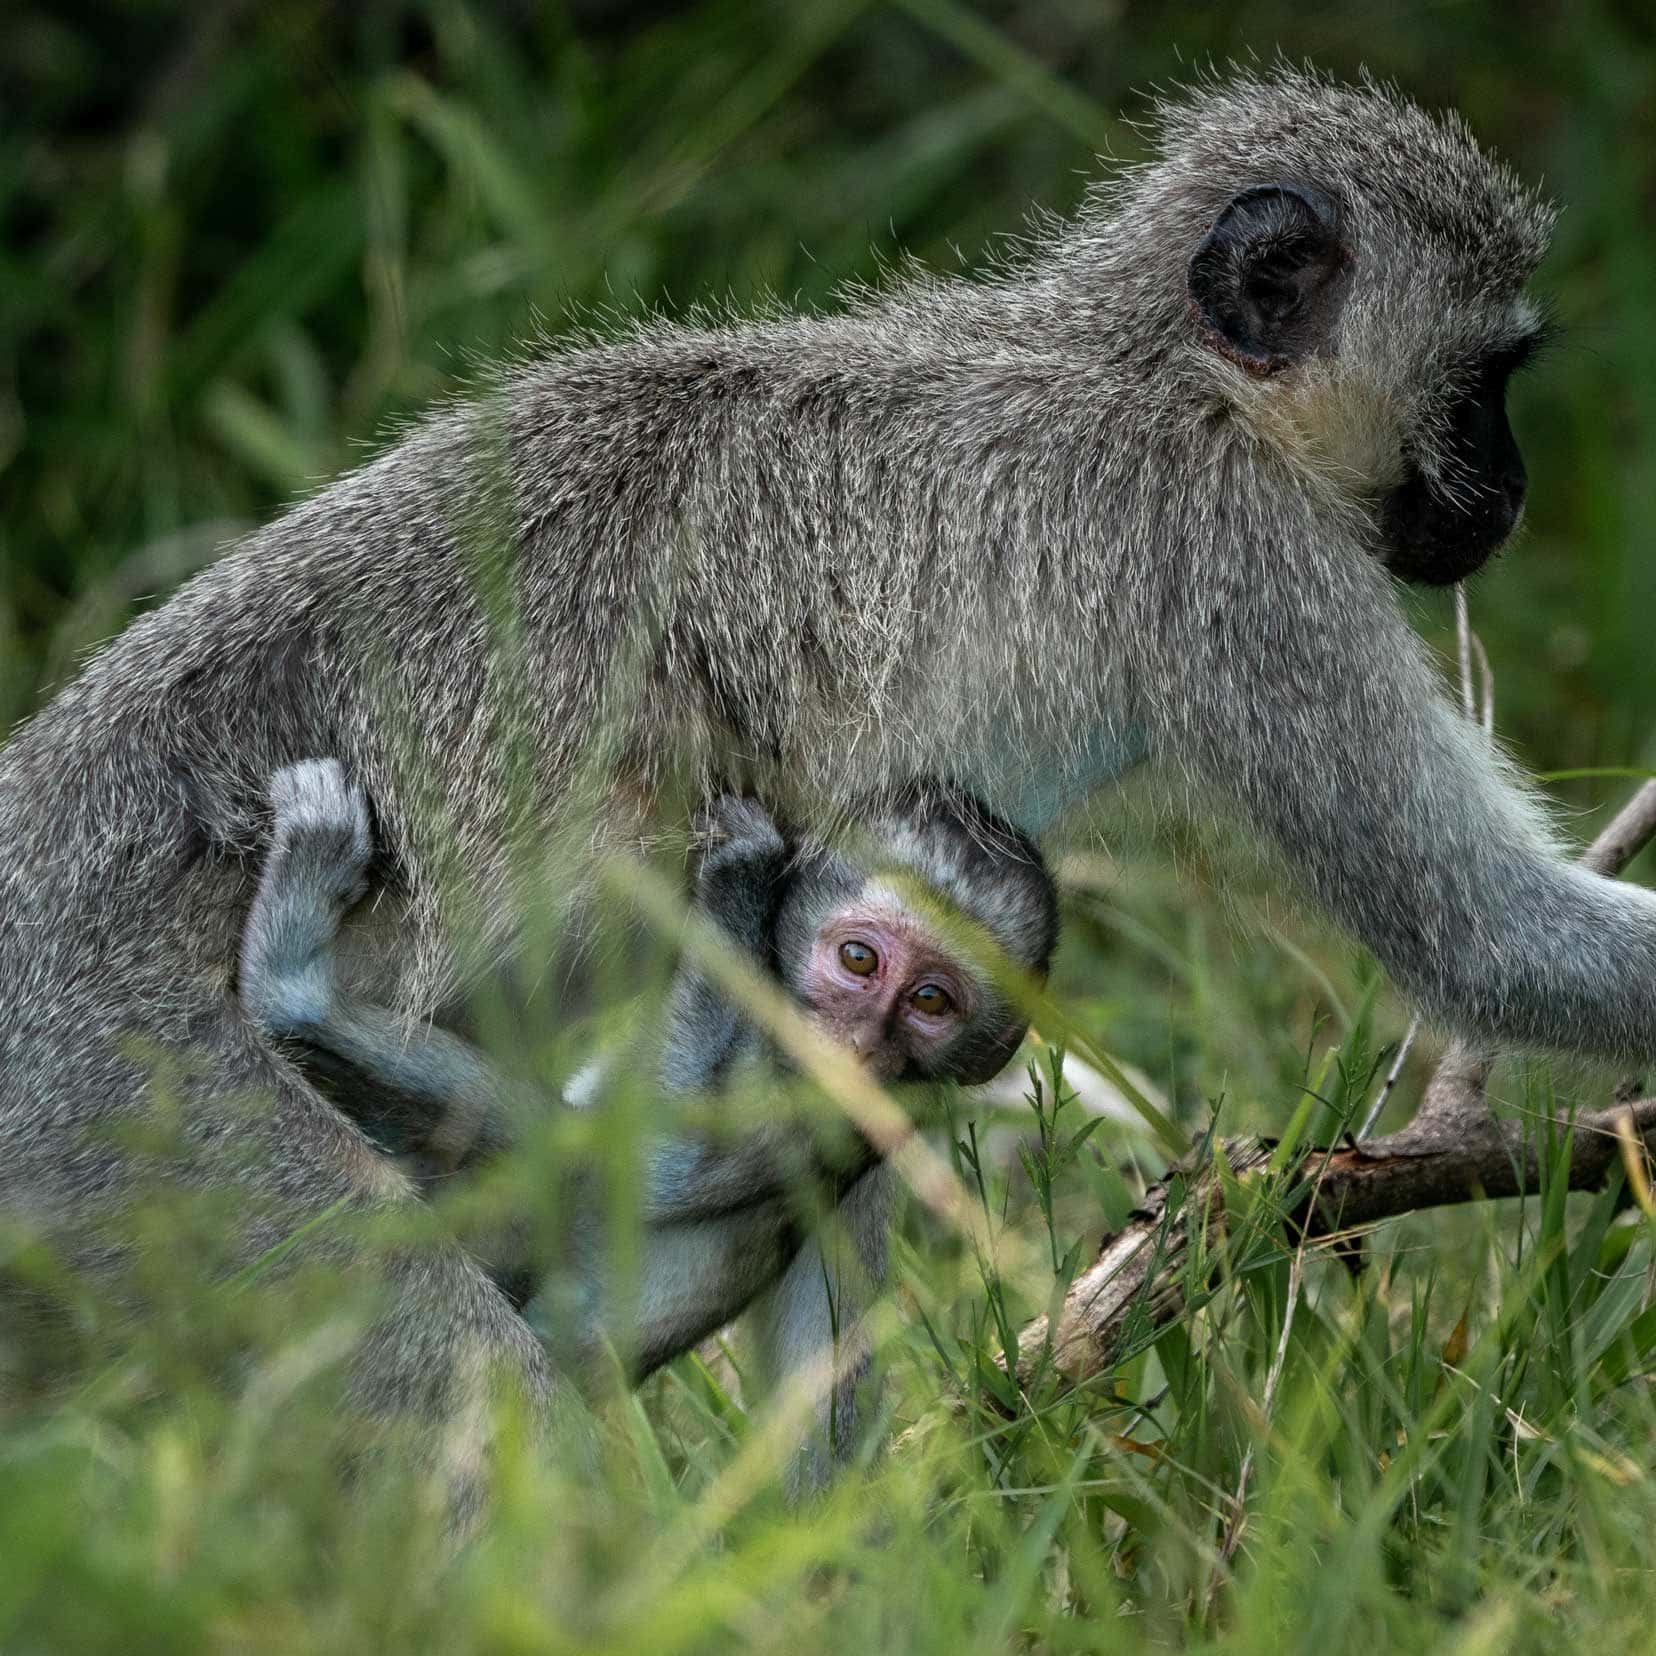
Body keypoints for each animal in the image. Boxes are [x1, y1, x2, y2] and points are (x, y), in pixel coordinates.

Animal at [238, 758, 1053, 1483]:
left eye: (931, 1003)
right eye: (859, 959)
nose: (857, 1046)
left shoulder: (821, 1104)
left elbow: (658, 1166)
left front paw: (739, 881)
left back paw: (292, 986)